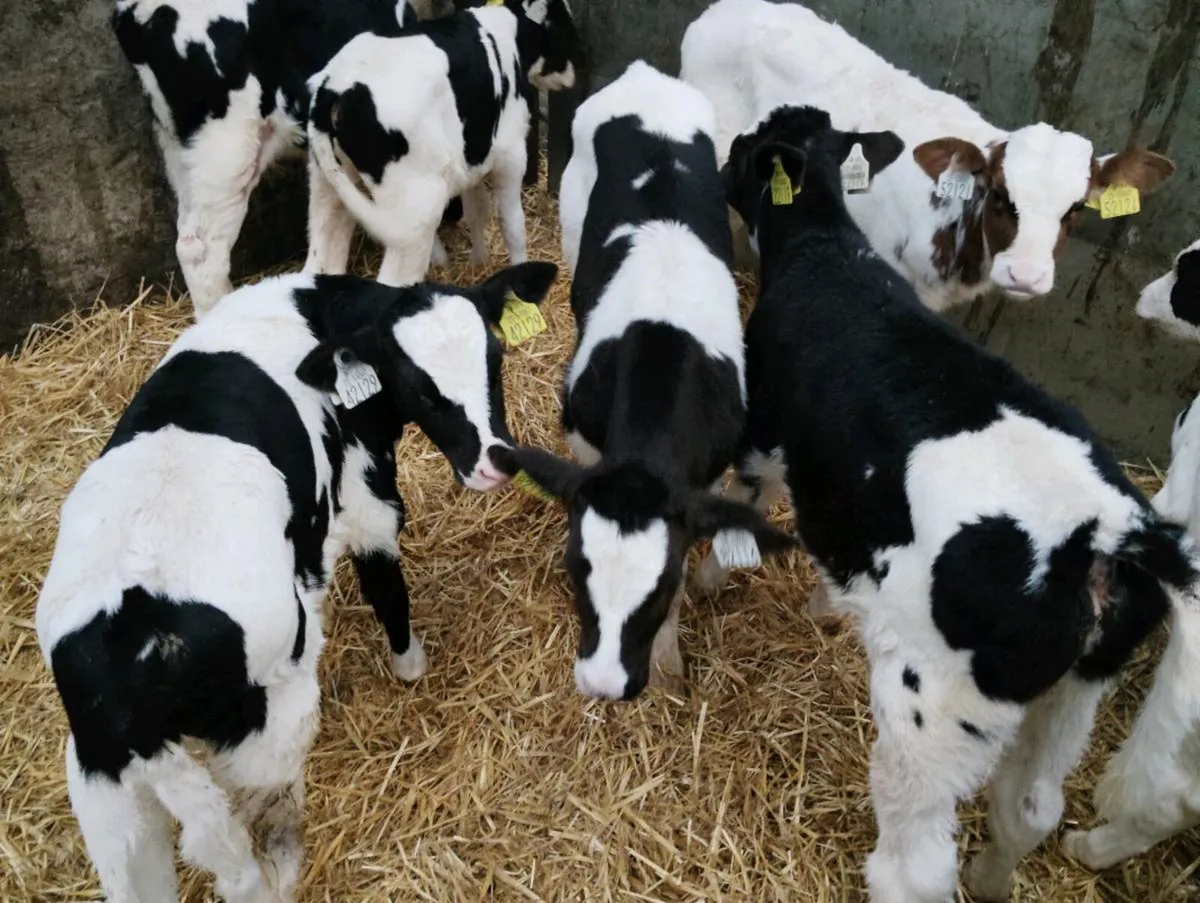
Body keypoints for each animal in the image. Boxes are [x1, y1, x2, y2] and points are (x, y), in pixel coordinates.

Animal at [36, 261, 557, 902]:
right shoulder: (365, 490)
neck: (320, 313)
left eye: (495, 358)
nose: (495, 461)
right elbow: (386, 584)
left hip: (106, 791)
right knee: (252, 846)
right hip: (269, 722)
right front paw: (412, 668)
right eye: (418, 388)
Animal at [304, 0, 579, 289]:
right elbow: (512, 223)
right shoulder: (510, 154)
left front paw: (477, 262)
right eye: (562, 27)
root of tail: (337, 88)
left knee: (320, 259)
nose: (573, 74)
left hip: (326, 189)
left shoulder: (474, 157)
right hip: (416, 210)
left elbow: (476, 210)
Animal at [490, 61, 797, 702]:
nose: (603, 683)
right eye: (574, 569)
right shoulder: (584, 438)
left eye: (662, 583)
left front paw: (666, 658)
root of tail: (643, 73)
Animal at [702, 103, 1200, 903]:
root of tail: (1114, 531)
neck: (826, 248)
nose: (721, 161)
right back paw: (995, 878)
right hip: (1075, 692)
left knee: (917, 866)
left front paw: (705, 584)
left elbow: (738, 513)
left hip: (931, 709)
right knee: (1031, 806)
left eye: (748, 146)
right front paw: (824, 606)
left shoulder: (762, 439)